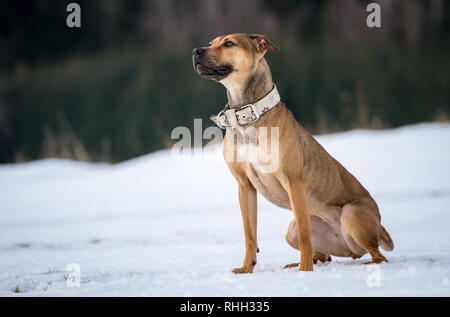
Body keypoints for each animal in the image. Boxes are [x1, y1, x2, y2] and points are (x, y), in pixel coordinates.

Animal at [193, 34, 394, 272]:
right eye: (210, 43)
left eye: (229, 43)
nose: (196, 51)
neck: (248, 115)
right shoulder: (245, 186)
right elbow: (250, 234)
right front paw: (246, 269)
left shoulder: (293, 181)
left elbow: (306, 237)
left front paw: (304, 271)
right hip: (292, 232)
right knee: (325, 255)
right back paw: (297, 263)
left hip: (352, 215)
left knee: (378, 256)